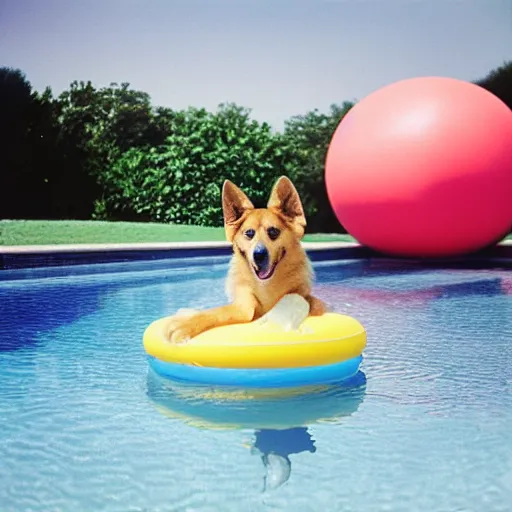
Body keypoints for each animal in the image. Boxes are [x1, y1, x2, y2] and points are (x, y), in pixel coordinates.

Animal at [164, 176, 328, 344]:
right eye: (249, 233)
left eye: (273, 232)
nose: (259, 255)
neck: (266, 288)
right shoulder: (243, 305)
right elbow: (219, 312)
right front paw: (187, 323)